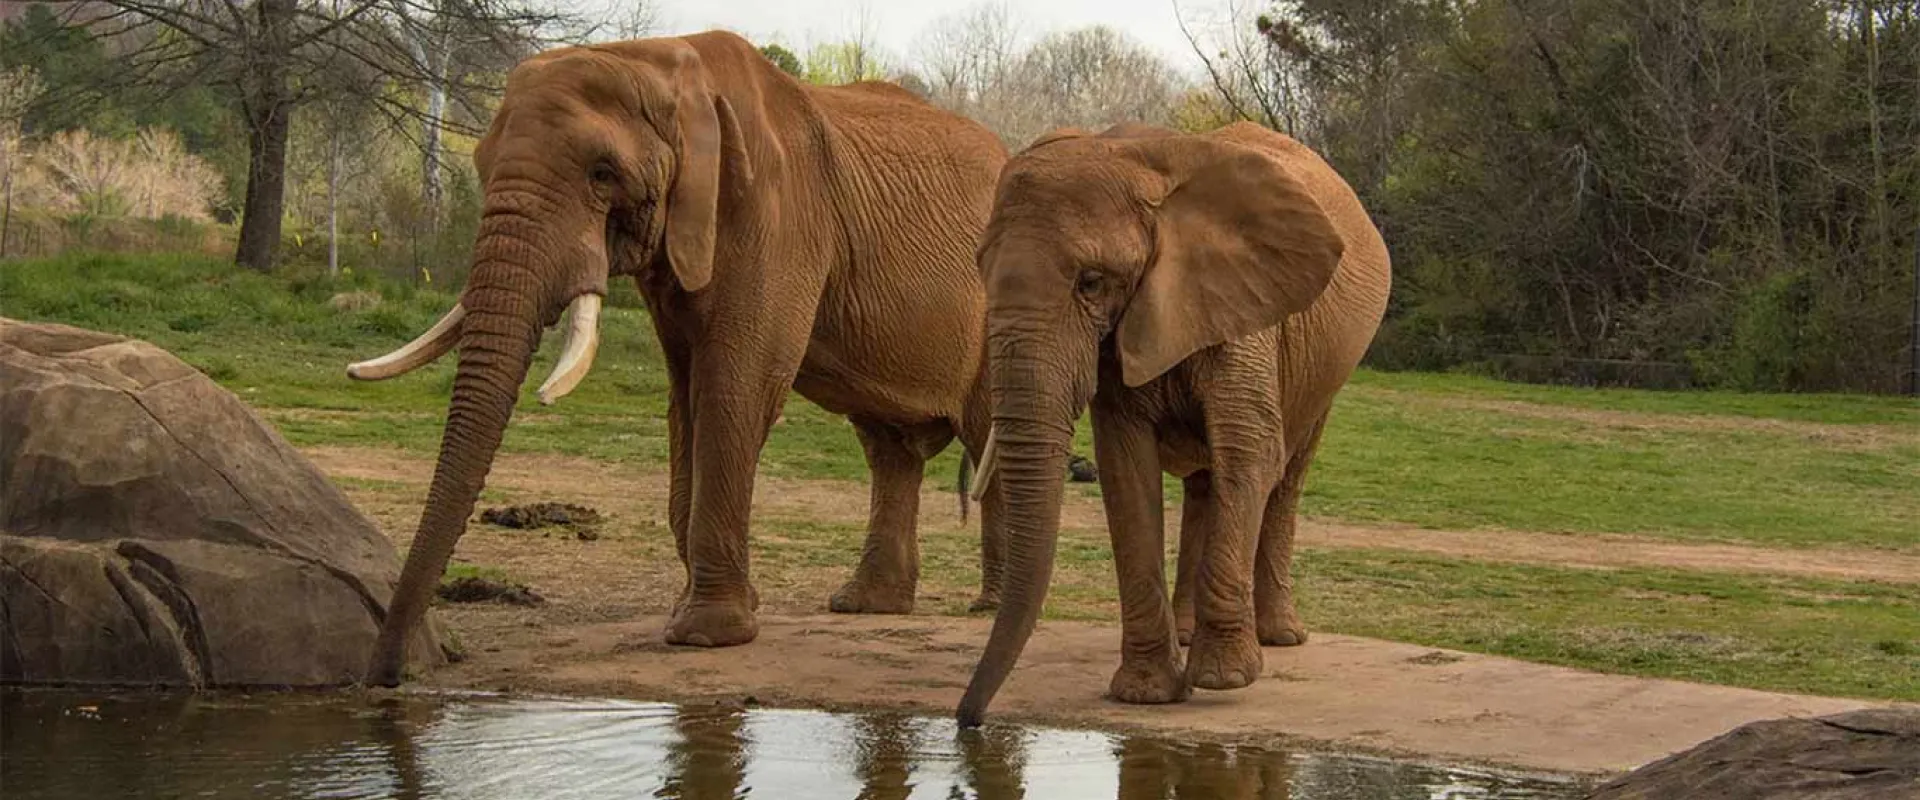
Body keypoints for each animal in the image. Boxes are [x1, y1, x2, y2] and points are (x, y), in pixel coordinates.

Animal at [345, 31, 1010, 685]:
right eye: (481, 165)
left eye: (602, 173)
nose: (386, 677)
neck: (656, 61)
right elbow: (684, 393)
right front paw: (700, 614)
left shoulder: (777, 216)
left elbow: (736, 383)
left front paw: (706, 636)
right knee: (888, 448)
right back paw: (865, 605)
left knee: (983, 437)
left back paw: (988, 608)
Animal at [955, 122, 1390, 726]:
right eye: (980, 270)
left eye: (1091, 282)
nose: (967, 720)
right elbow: (1125, 469)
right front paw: (1146, 692)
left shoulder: (1244, 306)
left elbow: (1250, 451)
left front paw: (1223, 680)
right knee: (1207, 481)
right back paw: (1188, 635)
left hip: (1328, 368)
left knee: (1285, 474)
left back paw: (1279, 638)